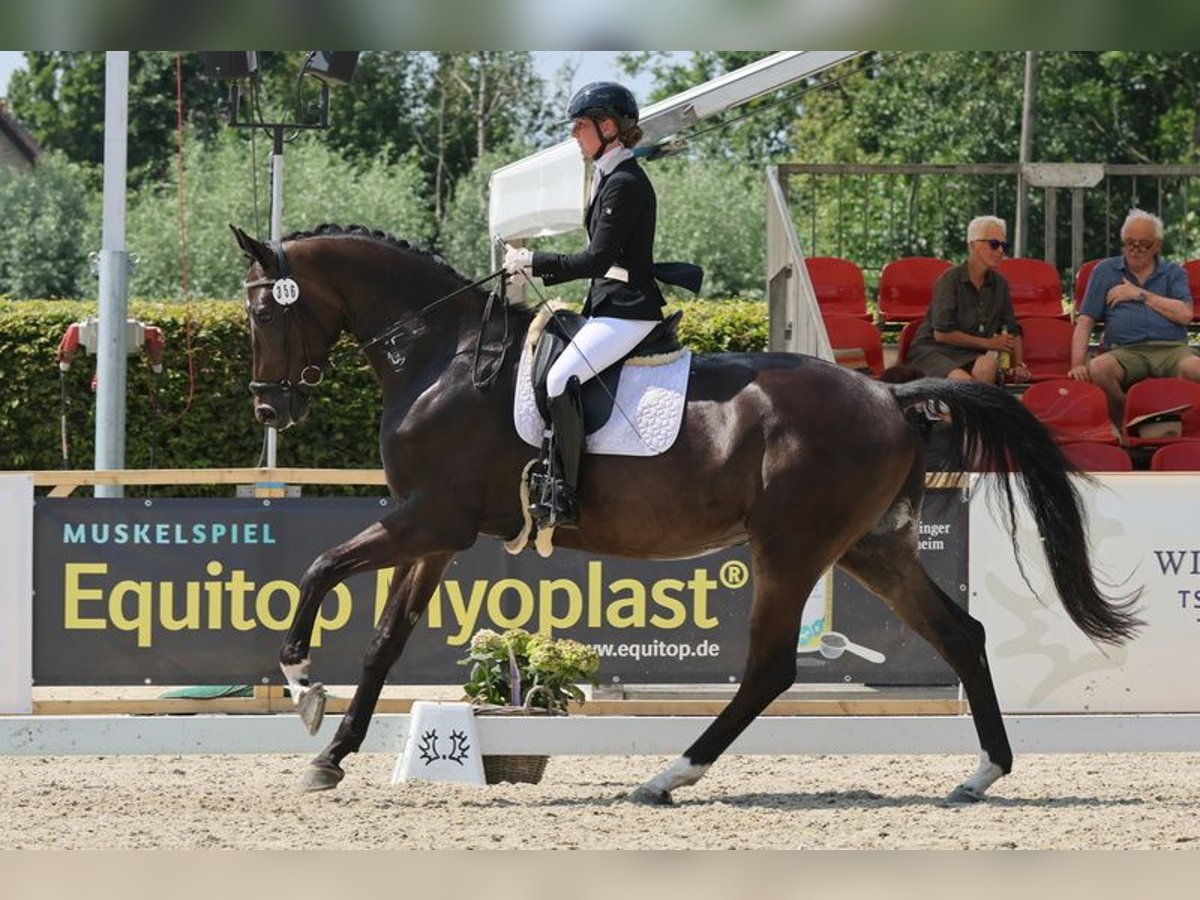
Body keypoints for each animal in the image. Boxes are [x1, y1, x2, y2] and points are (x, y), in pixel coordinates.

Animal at [229, 224, 1137, 801]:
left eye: (264, 309)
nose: (270, 409)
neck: (444, 354)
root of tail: (890, 393)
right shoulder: (433, 532)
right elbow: (384, 640)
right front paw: (332, 756)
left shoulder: (431, 519)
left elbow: (319, 570)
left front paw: (301, 684)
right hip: (872, 550)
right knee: (961, 634)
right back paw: (981, 774)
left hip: (792, 550)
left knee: (770, 669)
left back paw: (667, 777)